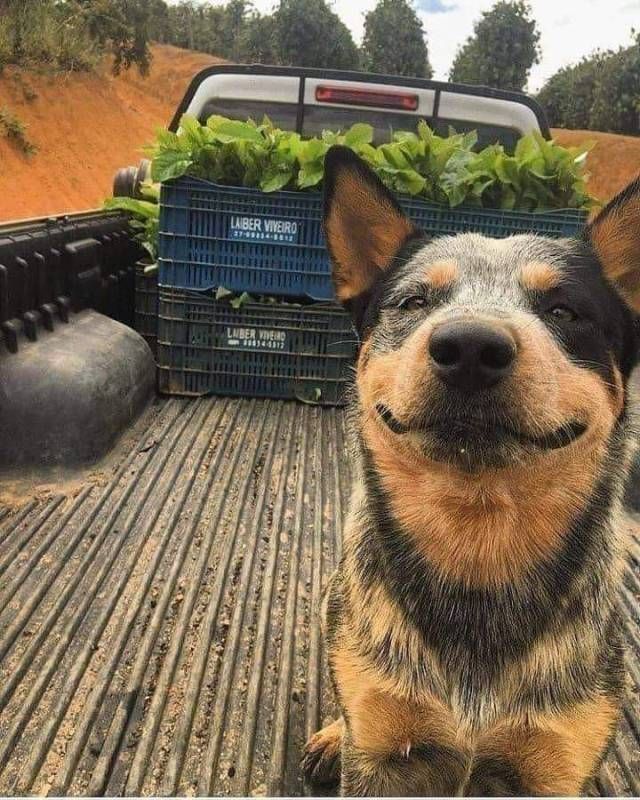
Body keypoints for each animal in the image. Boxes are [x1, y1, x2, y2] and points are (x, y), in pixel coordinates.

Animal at [302, 147, 640, 796]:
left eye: (564, 310)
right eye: (414, 302)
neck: (476, 551)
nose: (470, 348)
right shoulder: (380, 749)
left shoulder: (554, 764)